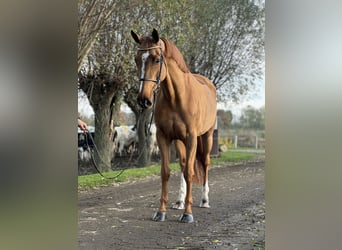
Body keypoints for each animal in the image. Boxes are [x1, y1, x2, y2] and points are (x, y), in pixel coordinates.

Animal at [131, 28, 216, 223]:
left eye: (156, 59)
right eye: (137, 59)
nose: (143, 100)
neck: (177, 97)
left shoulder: (191, 138)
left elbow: (190, 172)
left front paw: (188, 214)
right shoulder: (164, 137)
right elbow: (166, 172)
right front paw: (161, 212)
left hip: (206, 136)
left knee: (205, 164)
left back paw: (204, 200)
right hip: (179, 141)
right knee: (184, 164)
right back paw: (179, 202)